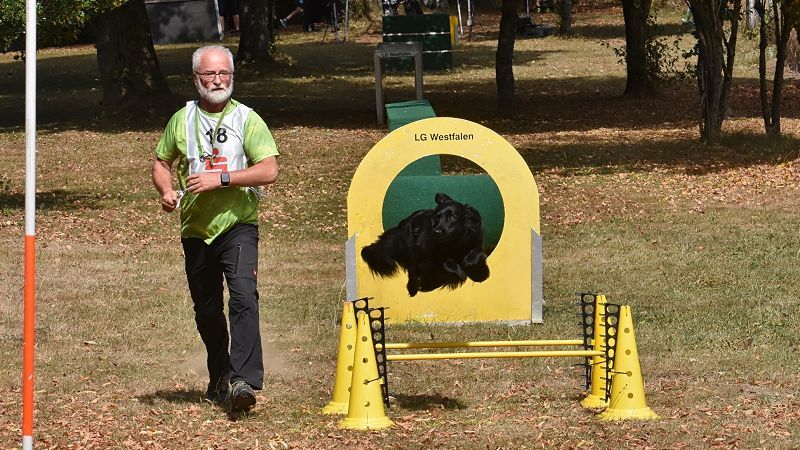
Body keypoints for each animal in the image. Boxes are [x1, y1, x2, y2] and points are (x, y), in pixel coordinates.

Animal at [360, 192, 488, 296]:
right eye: (436, 218)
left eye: (452, 217)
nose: (436, 232)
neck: (453, 242)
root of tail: (401, 225)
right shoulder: (430, 253)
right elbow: (447, 264)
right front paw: (462, 274)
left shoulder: (476, 240)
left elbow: (474, 254)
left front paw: (478, 273)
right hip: (411, 251)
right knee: (413, 270)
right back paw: (415, 287)